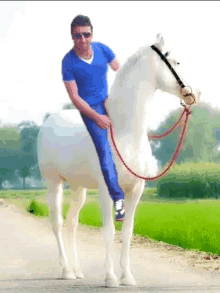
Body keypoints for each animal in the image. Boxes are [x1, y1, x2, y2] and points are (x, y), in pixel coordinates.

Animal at [37, 33, 199, 286]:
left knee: (72, 223)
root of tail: (48, 122)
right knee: (57, 223)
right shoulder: (107, 190)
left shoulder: (136, 189)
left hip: (78, 187)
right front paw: (111, 277)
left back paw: (77, 270)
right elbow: (109, 232)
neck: (125, 133)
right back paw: (66, 270)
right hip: (54, 183)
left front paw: (128, 276)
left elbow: (127, 232)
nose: (194, 94)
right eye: (178, 62)